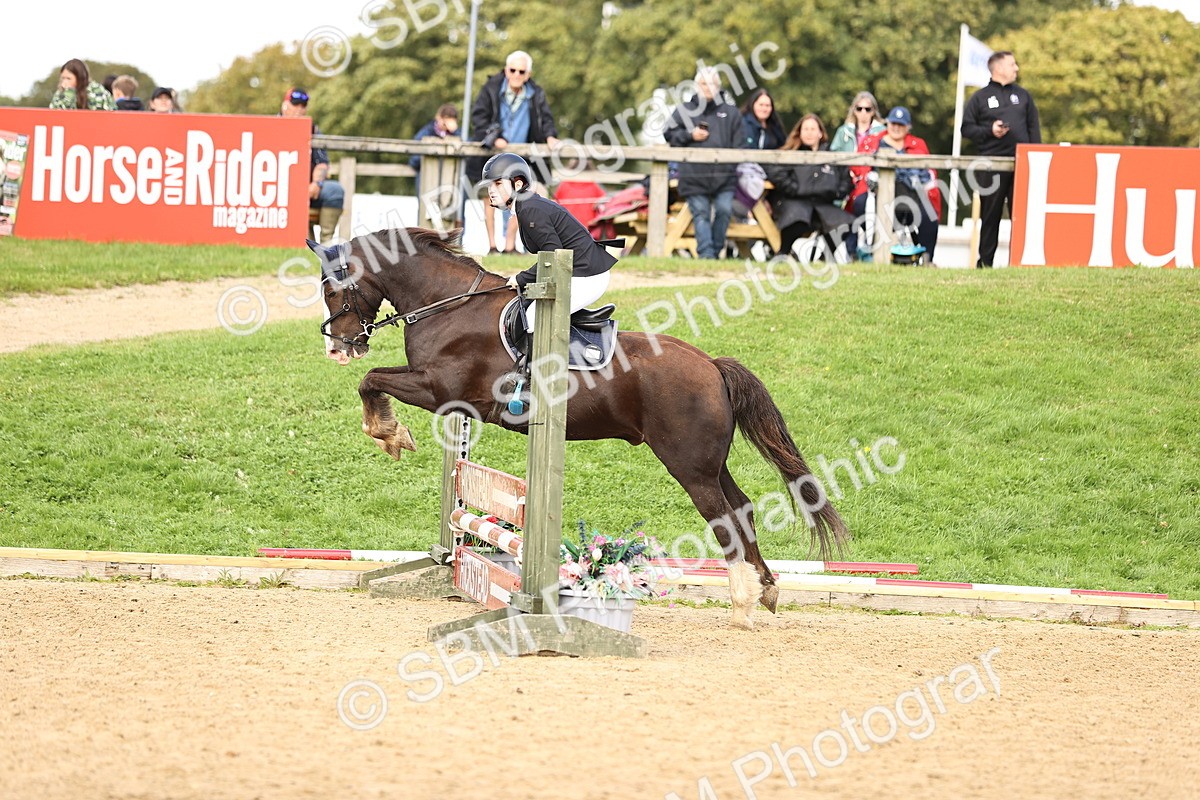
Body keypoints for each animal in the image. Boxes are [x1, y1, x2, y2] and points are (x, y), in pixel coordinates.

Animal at [311, 227, 849, 629]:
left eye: (333, 289)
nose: (337, 347)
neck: (449, 305)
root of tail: (712, 366)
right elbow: (374, 378)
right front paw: (388, 431)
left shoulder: (442, 390)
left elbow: (371, 379)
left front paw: (388, 432)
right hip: (710, 464)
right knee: (742, 509)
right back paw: (765, 593)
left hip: (689, 465)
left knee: (724, 519)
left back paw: (741, 603)